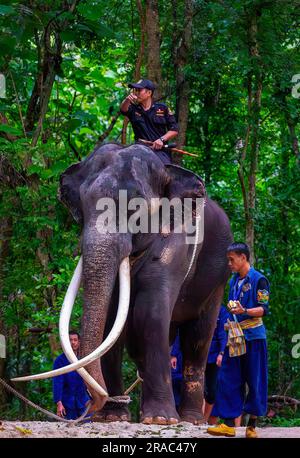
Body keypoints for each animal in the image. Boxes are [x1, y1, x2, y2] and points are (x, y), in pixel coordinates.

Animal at [12, 143, 233, 426]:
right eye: (83, 204)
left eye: (135, 208)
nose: (97, 402)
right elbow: (111, 321)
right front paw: (112, 417)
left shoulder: (176, 245)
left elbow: (149, 314)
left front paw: (161, 420)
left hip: (217, 280)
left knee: (198, 338)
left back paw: (190, 420)